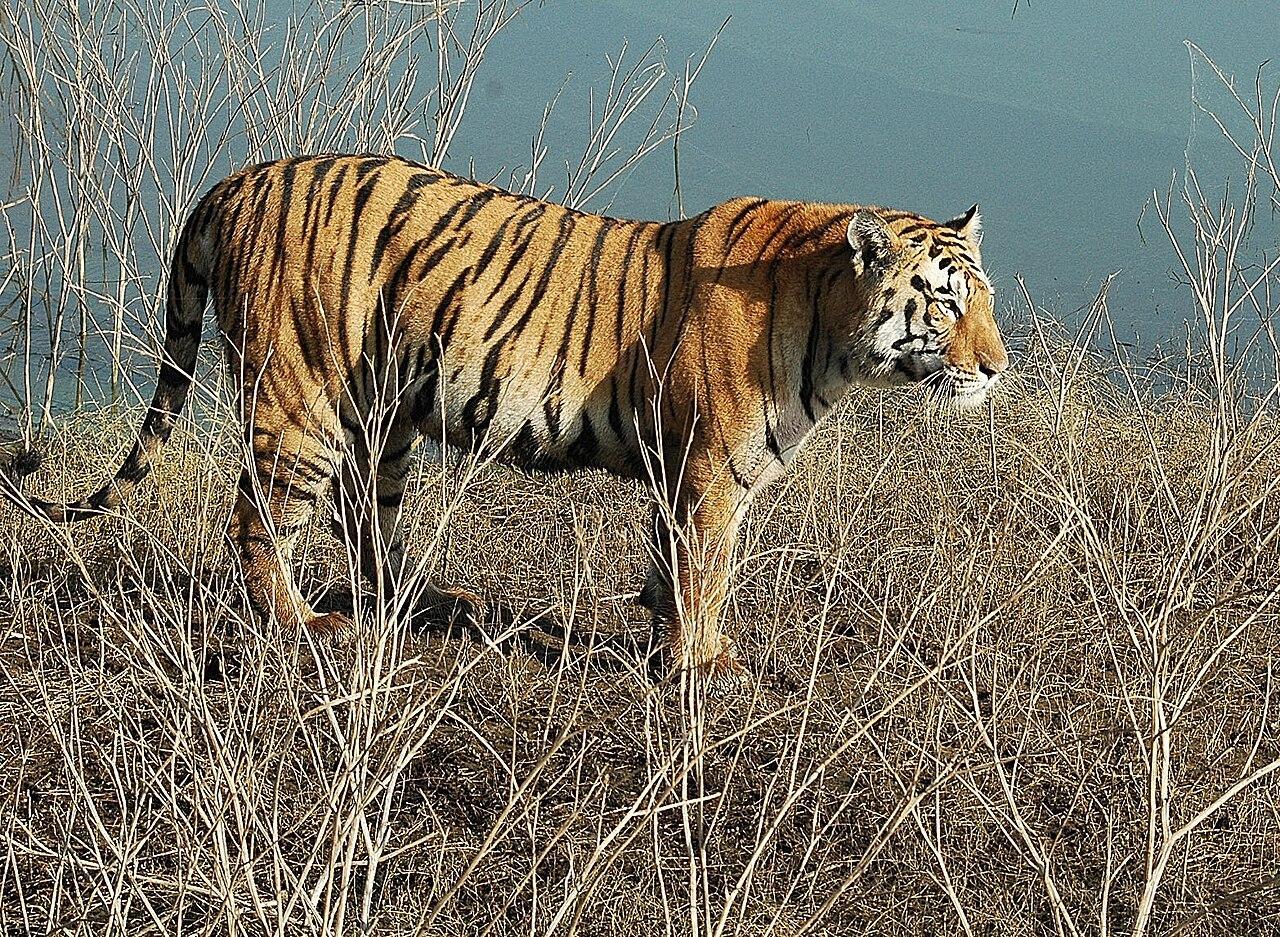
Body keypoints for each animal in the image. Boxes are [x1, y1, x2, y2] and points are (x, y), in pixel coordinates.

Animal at [2, 153, 1007, 683]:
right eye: (945, 301)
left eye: (988, 299)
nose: (998, 368)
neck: (834, 333)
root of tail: (242, 177)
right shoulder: (710, 473)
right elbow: (707, 574)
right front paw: (702, 666)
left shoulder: (692, 473)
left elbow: (676, 569)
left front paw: (671, 637)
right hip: (301, 398)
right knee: (257, 519)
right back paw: (303, 627)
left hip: (384, 413)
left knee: (365, 519)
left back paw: (424, 601)